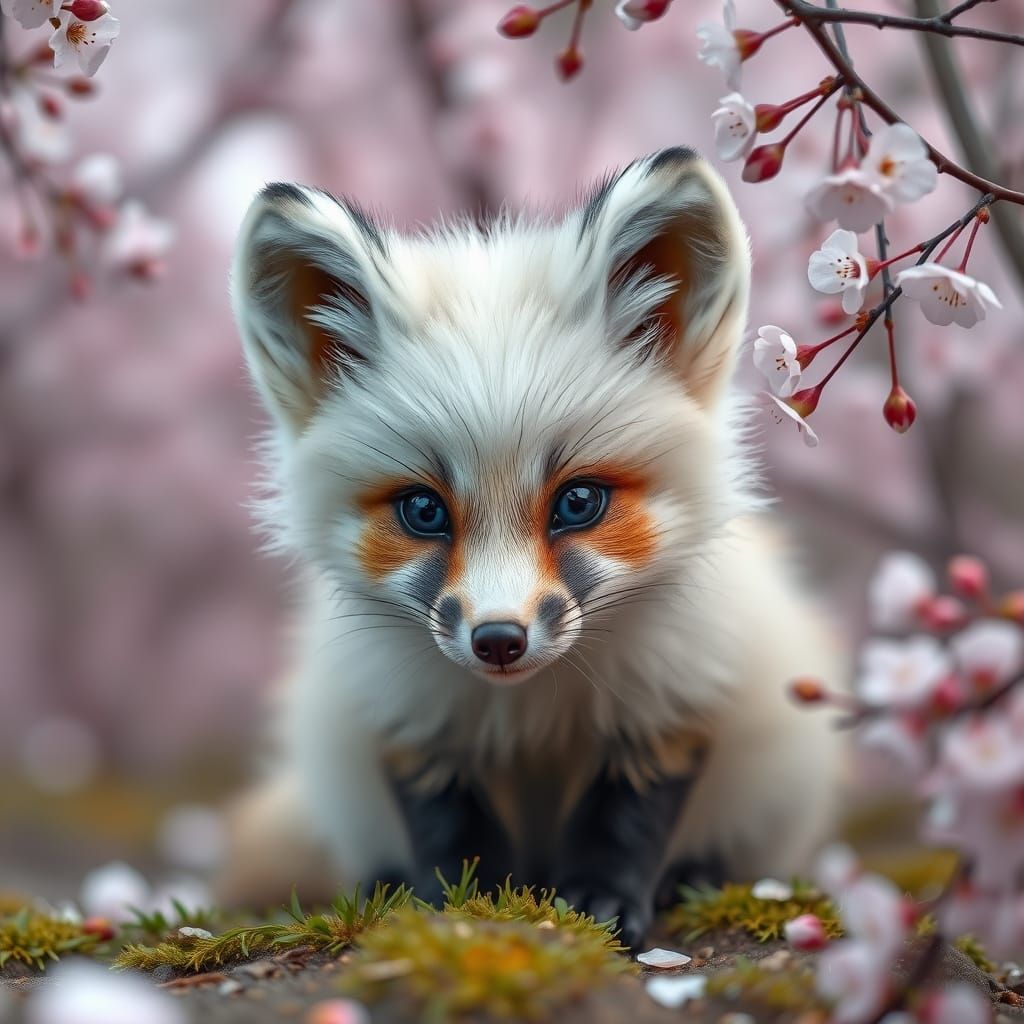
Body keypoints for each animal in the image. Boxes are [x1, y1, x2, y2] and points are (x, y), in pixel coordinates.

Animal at [224, 147, 844, 949]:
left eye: (578, 503)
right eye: (423, 510)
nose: (497, 640)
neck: (533, 716)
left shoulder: (673, 702)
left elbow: (621, 824)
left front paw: (602, 903)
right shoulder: (410, 720)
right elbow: (455, 837)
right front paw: (466, 909)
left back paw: (693, 875)